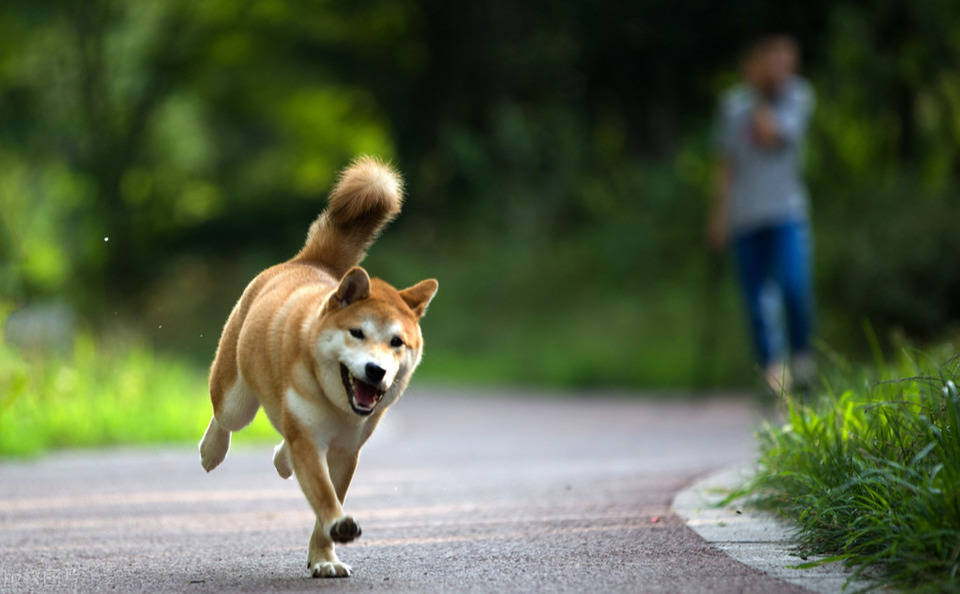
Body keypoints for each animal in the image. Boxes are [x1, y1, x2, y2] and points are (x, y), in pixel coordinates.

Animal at [199, 155, 438, 576]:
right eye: (357, 333)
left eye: (396, 342)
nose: (376, 371)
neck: (337, 404)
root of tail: (310, 261)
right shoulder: (310, 441)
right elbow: (325, 497)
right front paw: (333, 537)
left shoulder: (345, 450)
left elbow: (328, 502)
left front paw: (324, 557)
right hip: (237, 400)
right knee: (225, 418)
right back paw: (212, 450)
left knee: (283, 449)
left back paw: (281, 460)